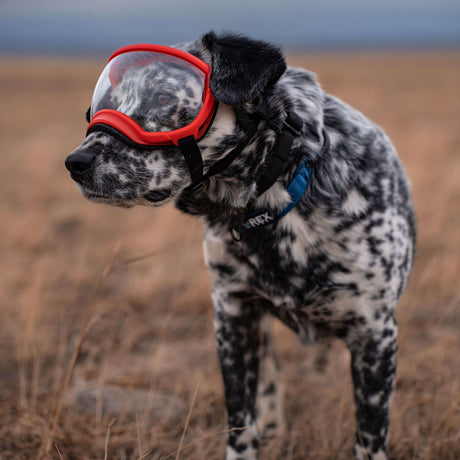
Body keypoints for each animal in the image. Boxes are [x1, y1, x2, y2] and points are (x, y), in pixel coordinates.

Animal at [65, 30, 416, 458]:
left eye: (163, 98)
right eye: (108, 102)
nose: (76, 163)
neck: (279, 196)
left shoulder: (375, 332)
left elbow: (369, 435)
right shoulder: (233, 315)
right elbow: (240, 418)